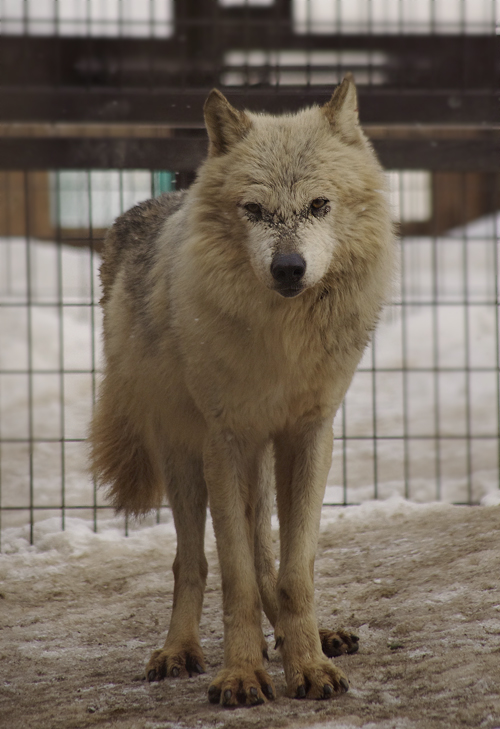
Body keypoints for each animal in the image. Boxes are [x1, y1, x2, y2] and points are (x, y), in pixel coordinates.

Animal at [91, 75, 394, 704]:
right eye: (254, 210)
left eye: (319, 205)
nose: (288, 267)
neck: (282, 343)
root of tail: (145, 208)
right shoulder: (224, 440)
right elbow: (232, 576)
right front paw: (242, 675)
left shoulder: (309, 434)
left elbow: (294, 570)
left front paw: (309, 666)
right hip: (184, 457)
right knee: (191, 562)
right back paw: (180, 651)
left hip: (260, 458)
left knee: (264, 555)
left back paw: (313, 639)